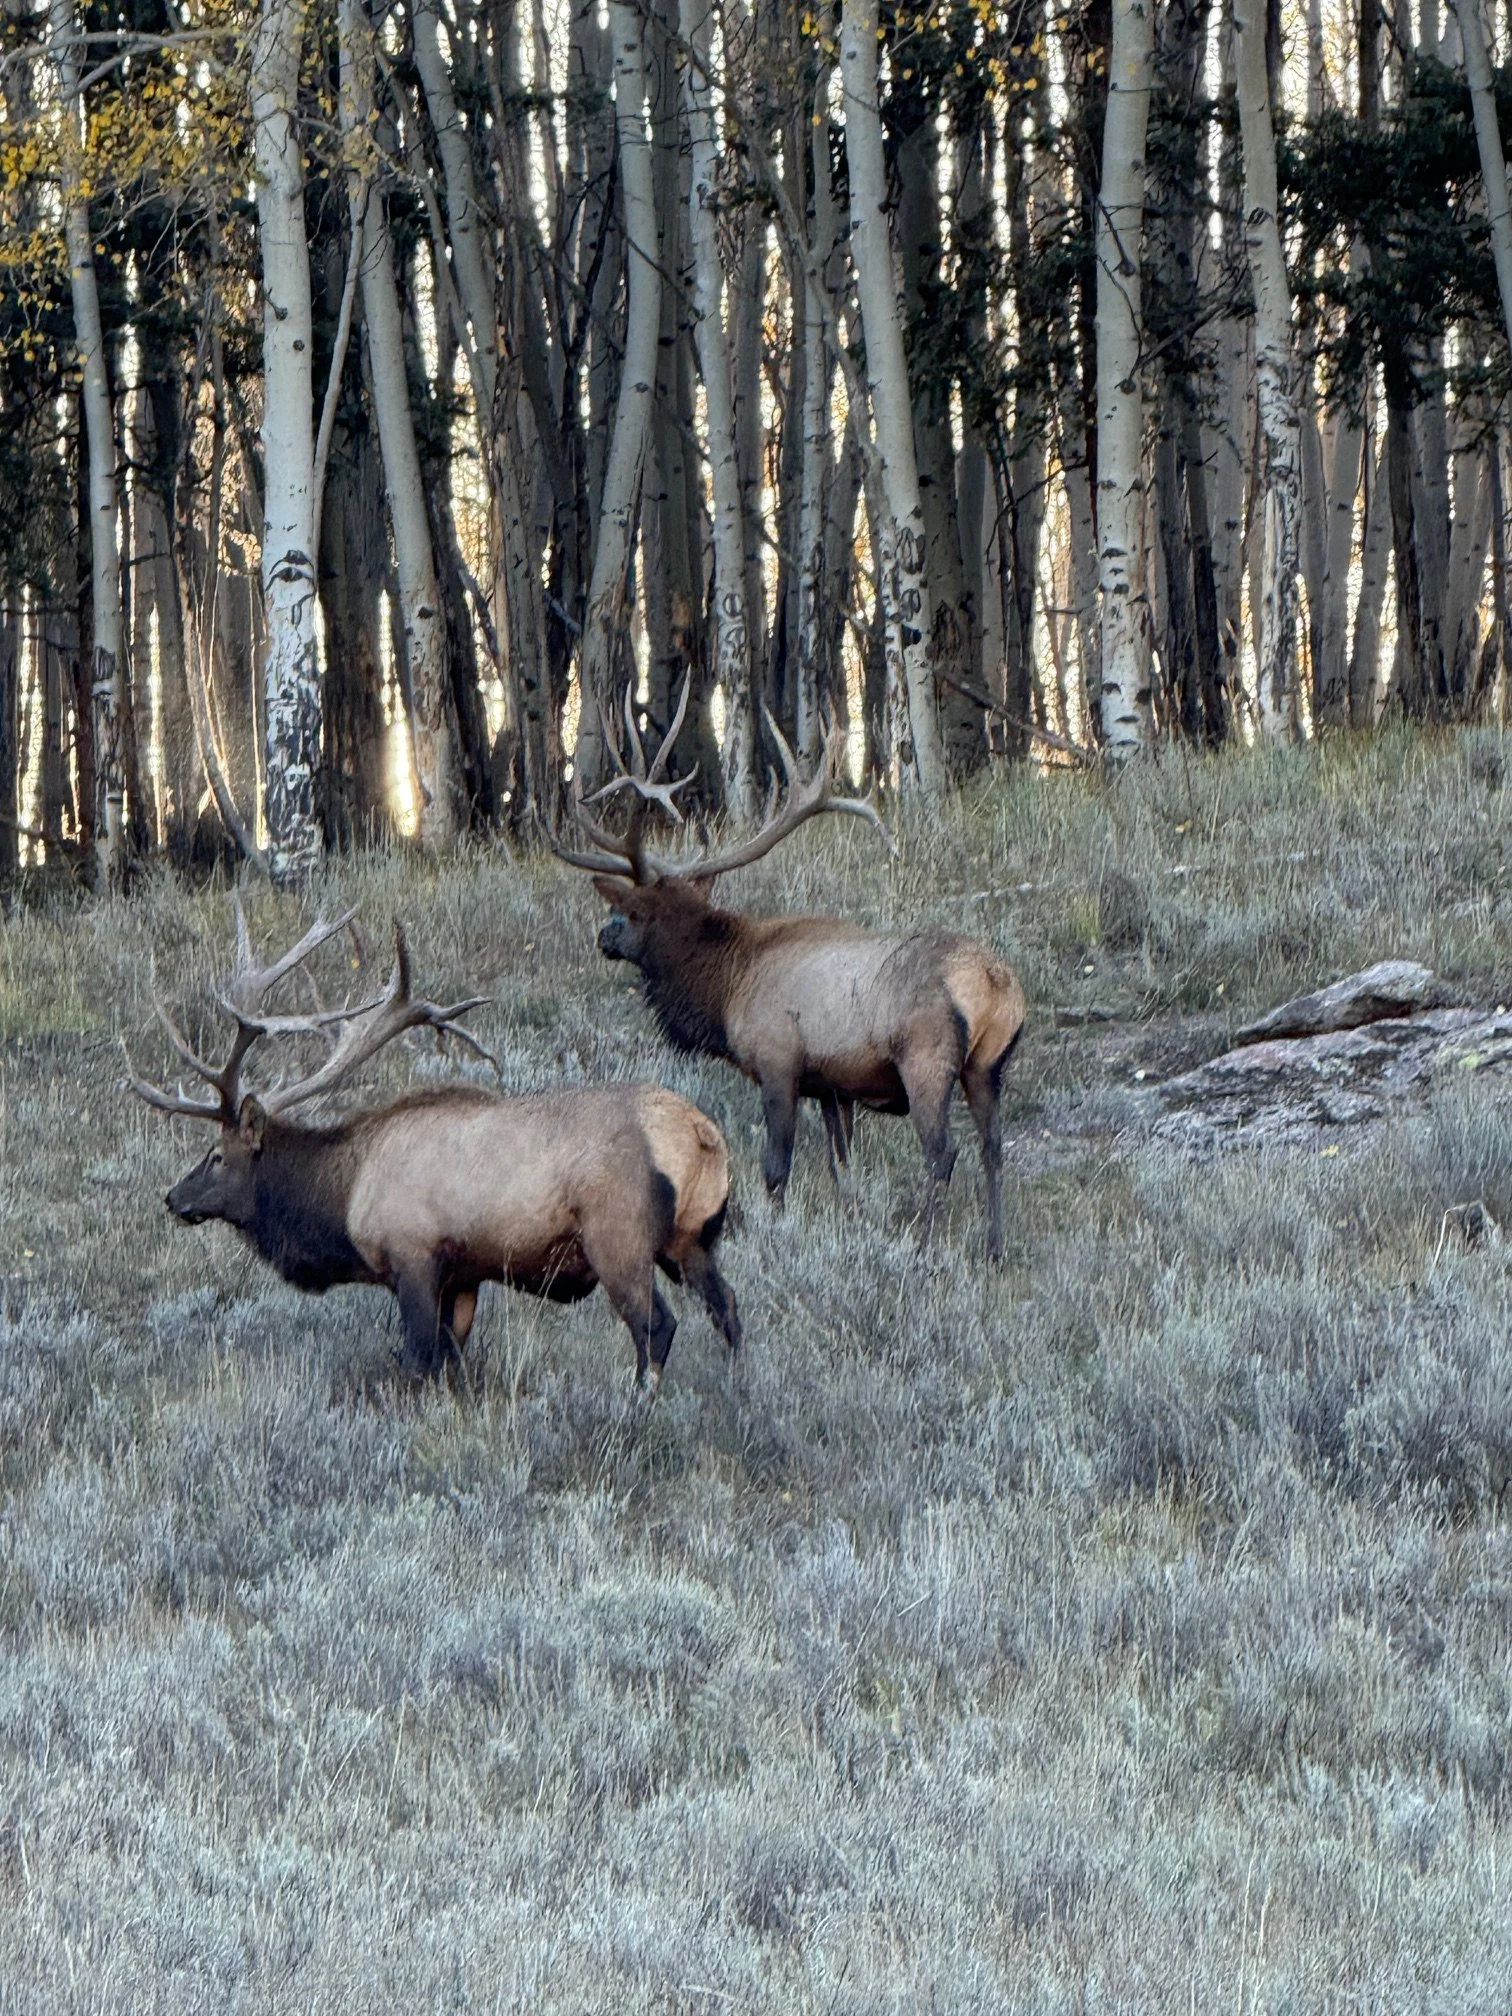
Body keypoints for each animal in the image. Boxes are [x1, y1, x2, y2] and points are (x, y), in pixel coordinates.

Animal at [126, 903, 741, 1392]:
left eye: (216, 1156)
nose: (173, 1197)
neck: (343, 1199)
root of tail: (700, 1134)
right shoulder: (465, 1275)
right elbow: (452, 1362)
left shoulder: (414, 1255)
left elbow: (417, 1359)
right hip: (694, 1239)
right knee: (728, 1309)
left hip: (619, 1236)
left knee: (656, 1327)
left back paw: (640, 1404)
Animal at [556, 684, 1027, 1259]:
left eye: (630, 911)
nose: (603, 937)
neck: (726, 987)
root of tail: (996, 984)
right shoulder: (832, 1087)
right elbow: (841, 1165)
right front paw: (848, 1216)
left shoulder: (779, 1062)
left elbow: (775, 1168)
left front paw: (772, 1232)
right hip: (988, 1065)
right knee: (993, 1148)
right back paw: (995, 1246)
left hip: (926, 1057)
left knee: (943, 1153)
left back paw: (926, 1240)